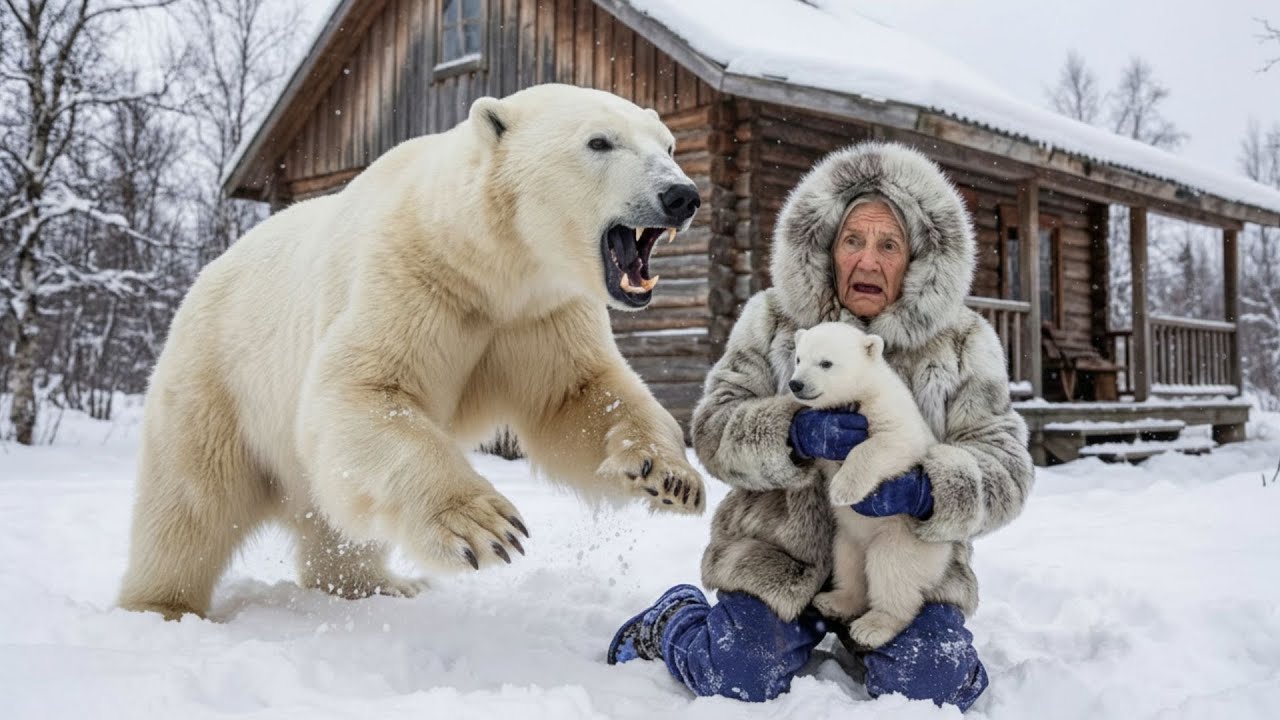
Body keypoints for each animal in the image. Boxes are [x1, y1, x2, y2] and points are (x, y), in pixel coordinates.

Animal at [117, 83, 707, 621]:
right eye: (599, 142)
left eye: (669, 144)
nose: (681, 195)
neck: (483, 261)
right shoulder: (410, 278)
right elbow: (363, 390)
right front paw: (486, 525)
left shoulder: (538, 315)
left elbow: (578, 396)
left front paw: (670, 474)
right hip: (217, 378)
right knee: (191, 503)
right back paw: (162, 605)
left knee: (331, 514)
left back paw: (377, 585)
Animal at [787, 322, 953, 648]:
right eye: (799, 358)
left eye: (826, 363)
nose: (796, 384)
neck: (861, 393)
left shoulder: (888, 412)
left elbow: (890, 442)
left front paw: (842, 489)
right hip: (848, 536)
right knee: (847, 562)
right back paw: (835, 601)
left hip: (902, 537)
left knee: (892, 571)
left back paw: (874, 626)